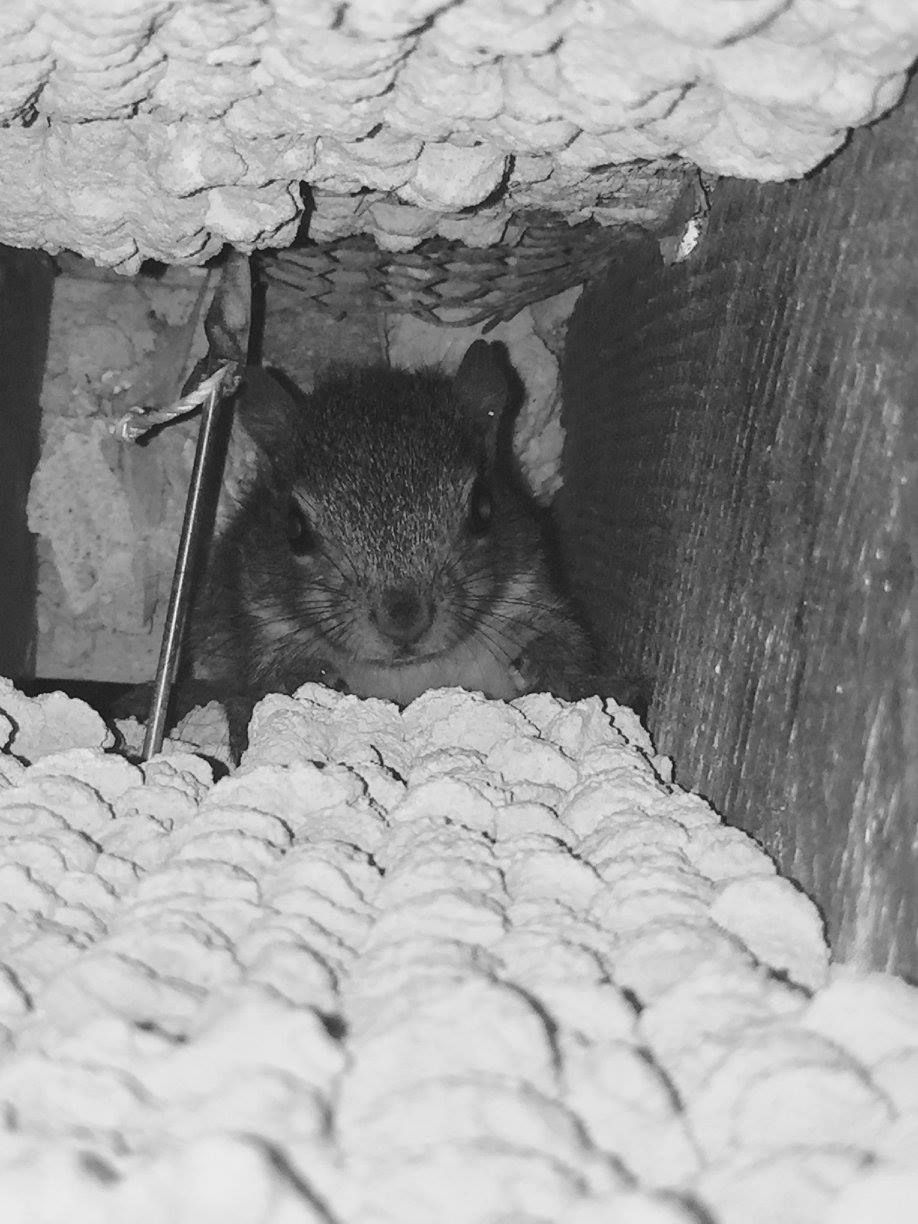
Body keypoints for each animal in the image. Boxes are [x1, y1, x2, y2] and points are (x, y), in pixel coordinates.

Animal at [183, 340, 638, 758]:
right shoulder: (262, 628)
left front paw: (548, 667)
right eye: (294, 528)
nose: (404, 621)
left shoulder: (532, 593)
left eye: (483, 508)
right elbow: (262, 690)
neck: (411, 673)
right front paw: (309, 677)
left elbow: (567, 642)